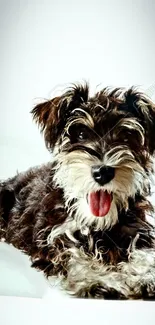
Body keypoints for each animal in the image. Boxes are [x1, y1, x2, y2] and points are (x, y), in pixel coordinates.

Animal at [0, 84, 155, 298]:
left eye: (126, 136)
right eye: (81, 134)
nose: (102, 171)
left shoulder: (136, 230)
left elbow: (144, 253)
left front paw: (145, 277)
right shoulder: (55, 238)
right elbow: (76, 258)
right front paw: (101, 282)